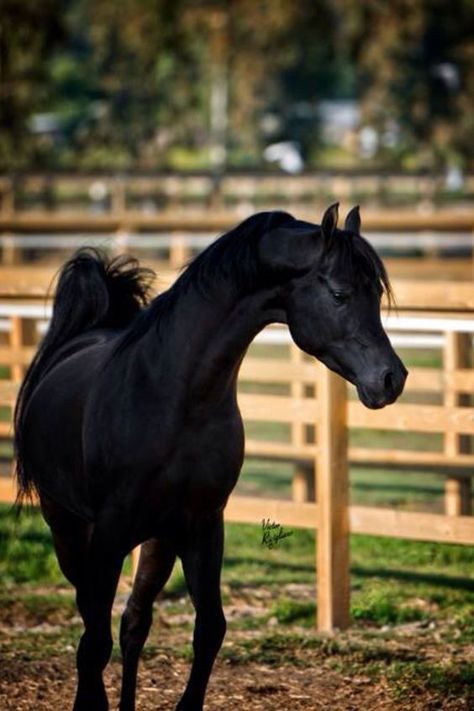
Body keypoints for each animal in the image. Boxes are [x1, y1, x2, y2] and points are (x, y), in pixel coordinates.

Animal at [13, 203, 404, 708]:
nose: (392, 379)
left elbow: (209, 630)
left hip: (158, 539)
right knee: (93, 619)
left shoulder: (202, 525)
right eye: (340, 293)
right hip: (67, 526)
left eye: (375, 293)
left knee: (134, 623)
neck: (173, 396)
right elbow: (93, 641)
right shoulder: (109, 533)